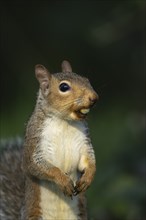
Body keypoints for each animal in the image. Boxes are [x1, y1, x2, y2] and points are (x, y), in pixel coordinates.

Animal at [0, 60, 98, 220]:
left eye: (87, 79)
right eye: (64, 87)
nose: (94, 97)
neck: (64, 121)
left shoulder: (84, 142)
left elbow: (88, 160)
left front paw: (88, 178)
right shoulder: (35, 140)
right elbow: (37, 165)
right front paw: (63, 180)